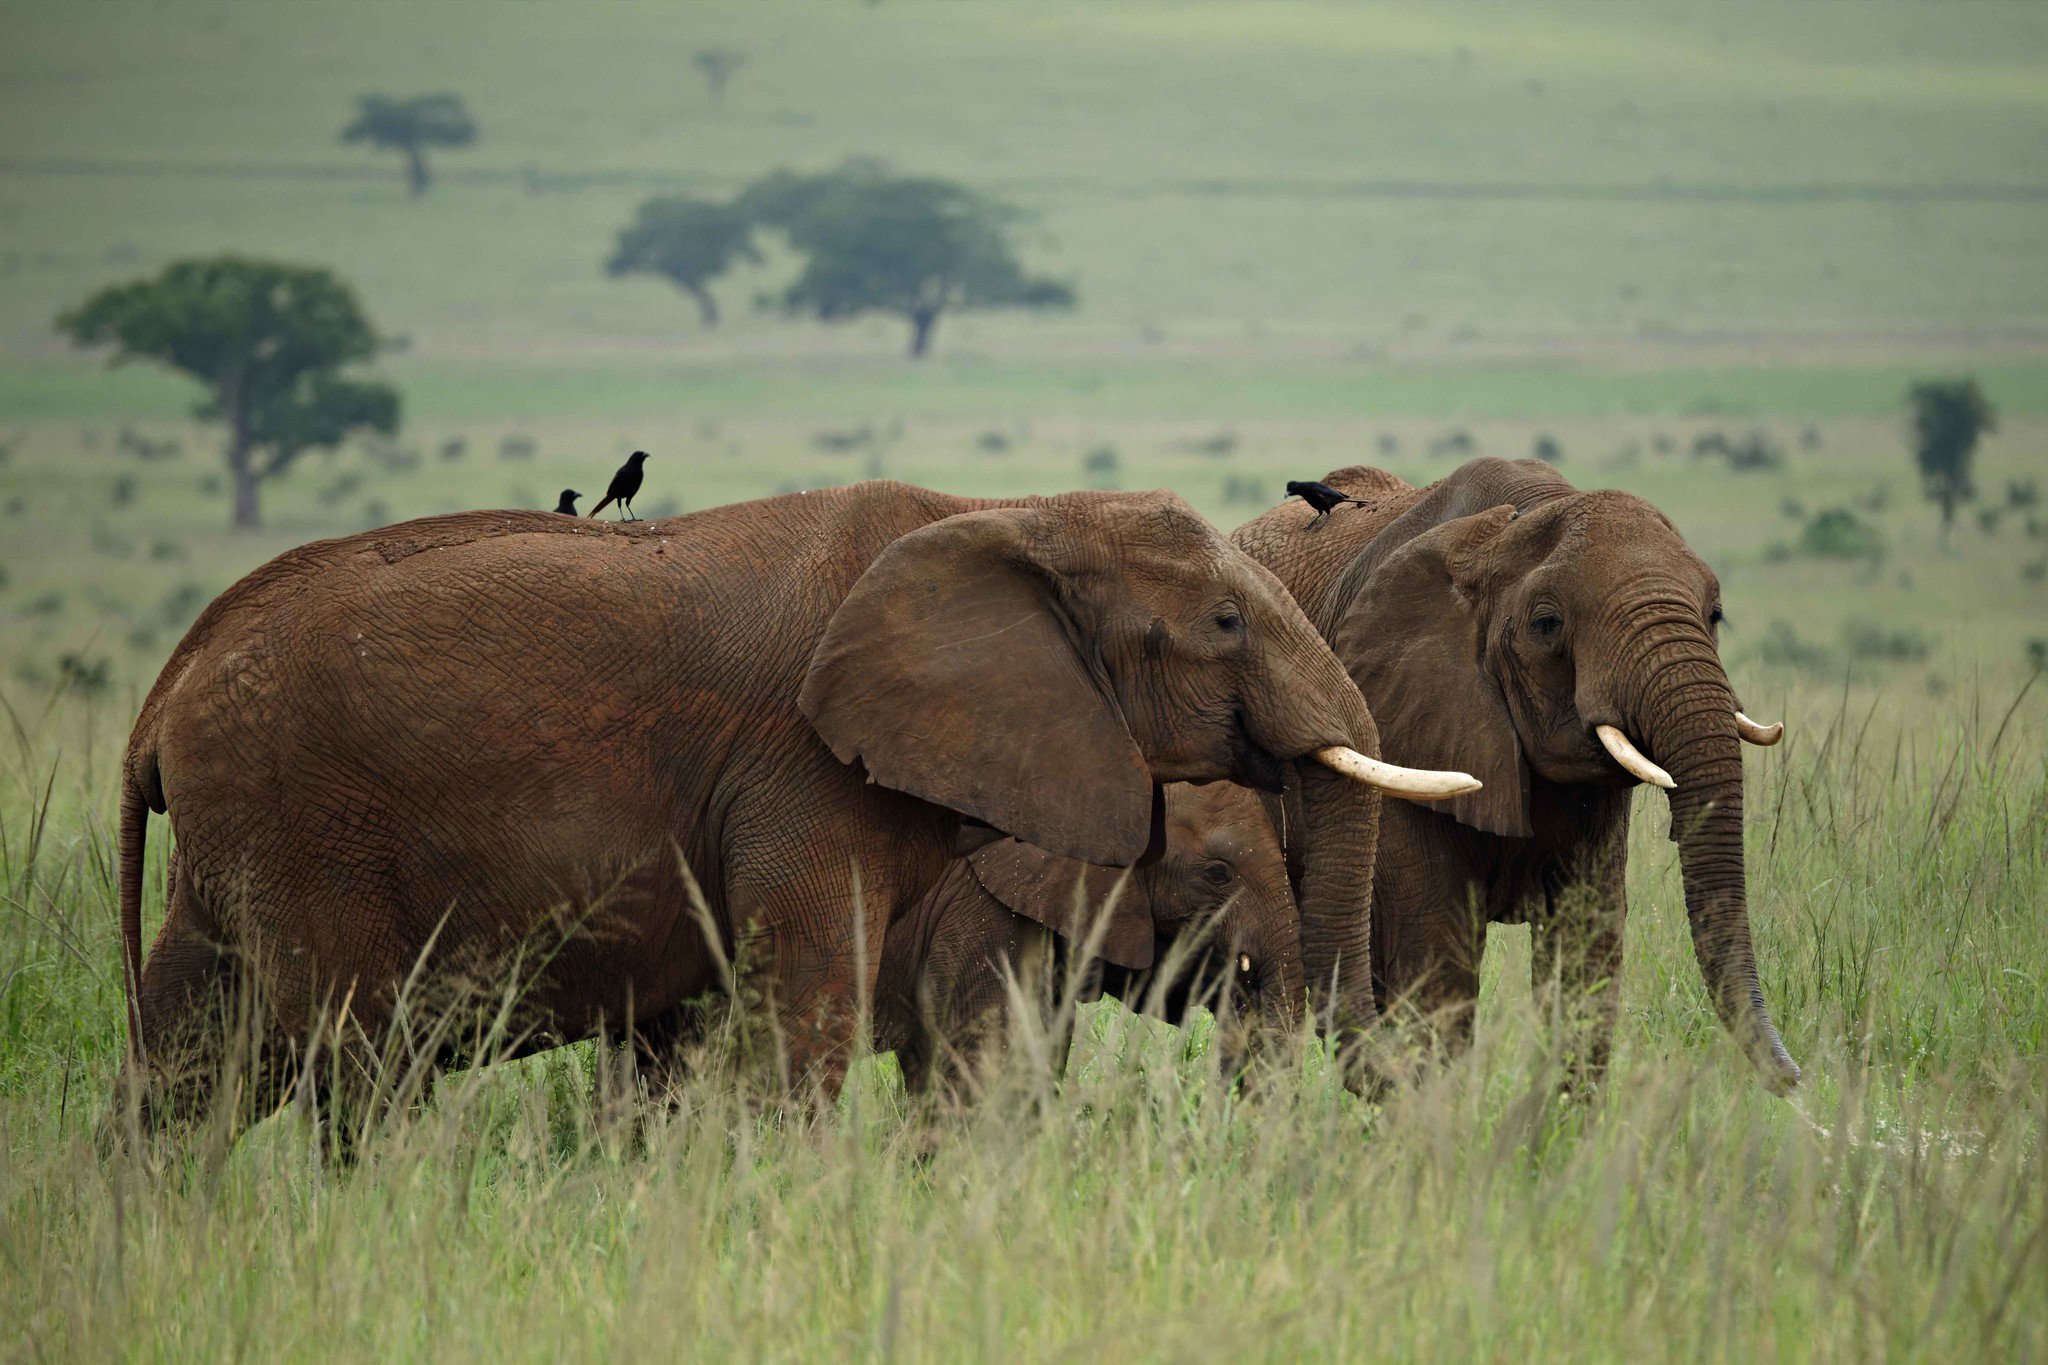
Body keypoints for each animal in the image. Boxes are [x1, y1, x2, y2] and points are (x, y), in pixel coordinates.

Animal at [1232, 457, 1799, 1092]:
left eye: (1715, 615)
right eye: (1547, 624)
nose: (1794, 1079)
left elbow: (1588, 943)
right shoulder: (1401, 717)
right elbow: (1436, 952)